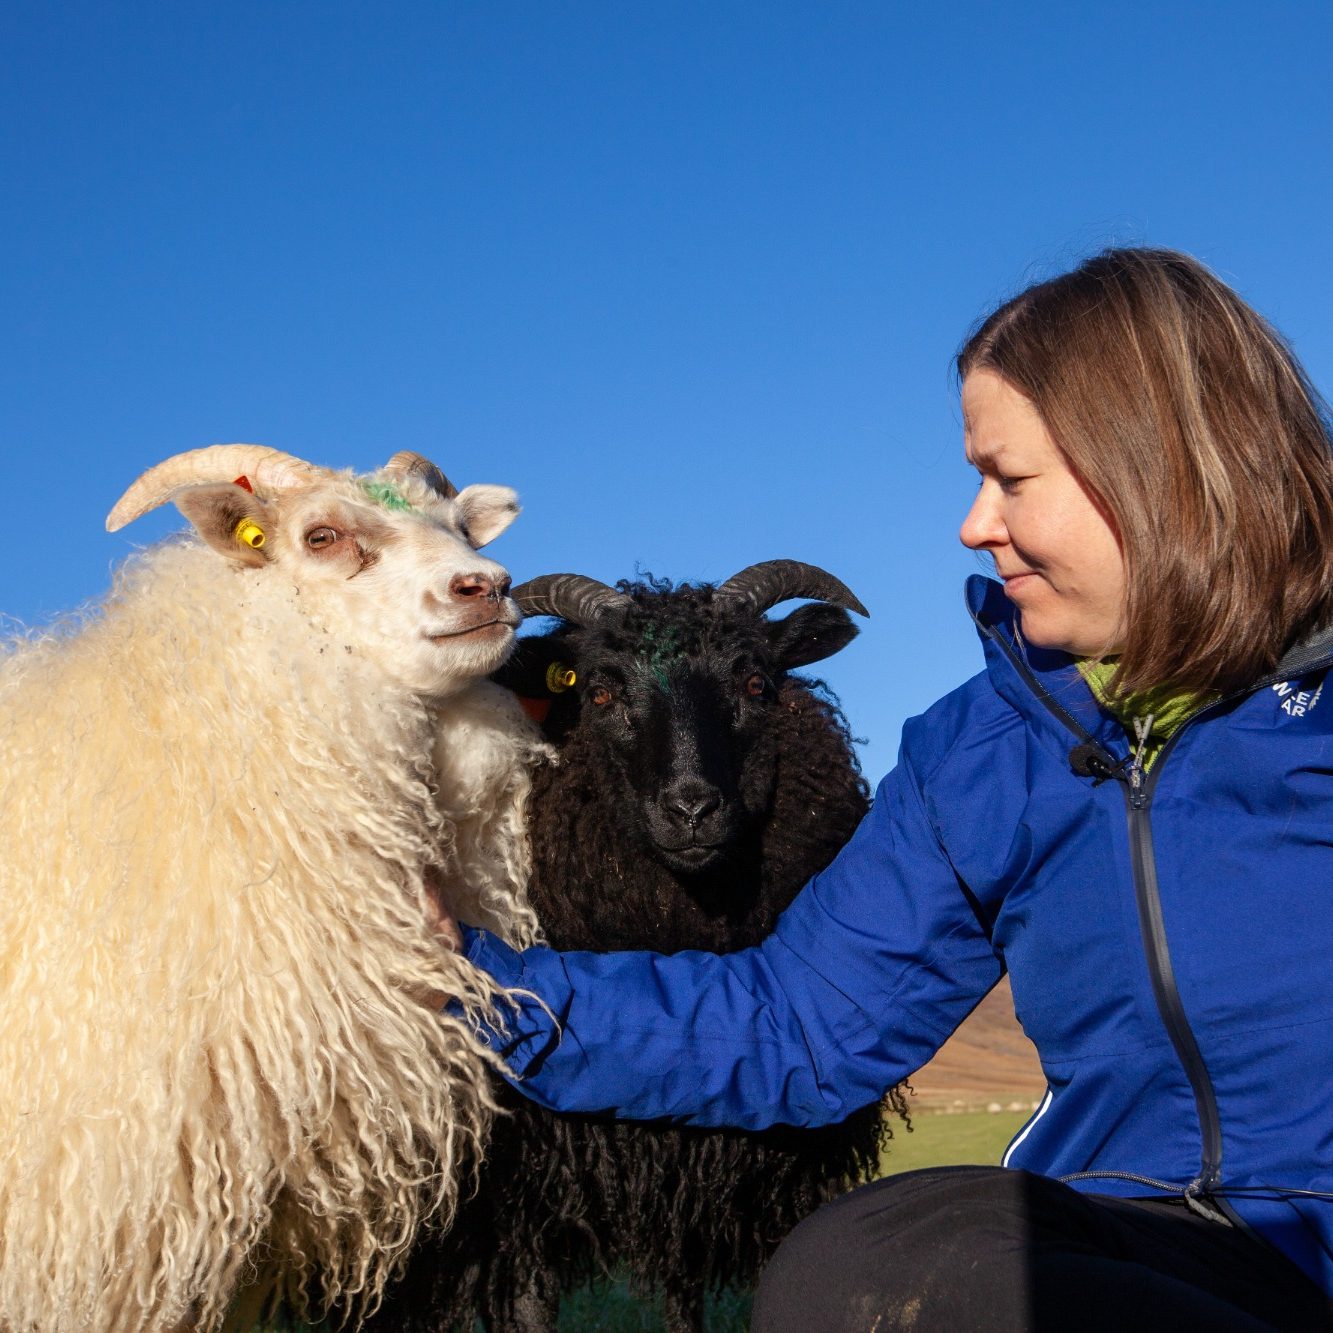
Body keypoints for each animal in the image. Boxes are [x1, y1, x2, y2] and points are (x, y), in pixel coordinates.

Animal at [368, 560, 908, 1333]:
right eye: (597, 692)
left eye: (756, 683)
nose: (689, 808)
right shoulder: (525, 1187)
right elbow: (530, 1305)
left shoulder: (748, 1166)